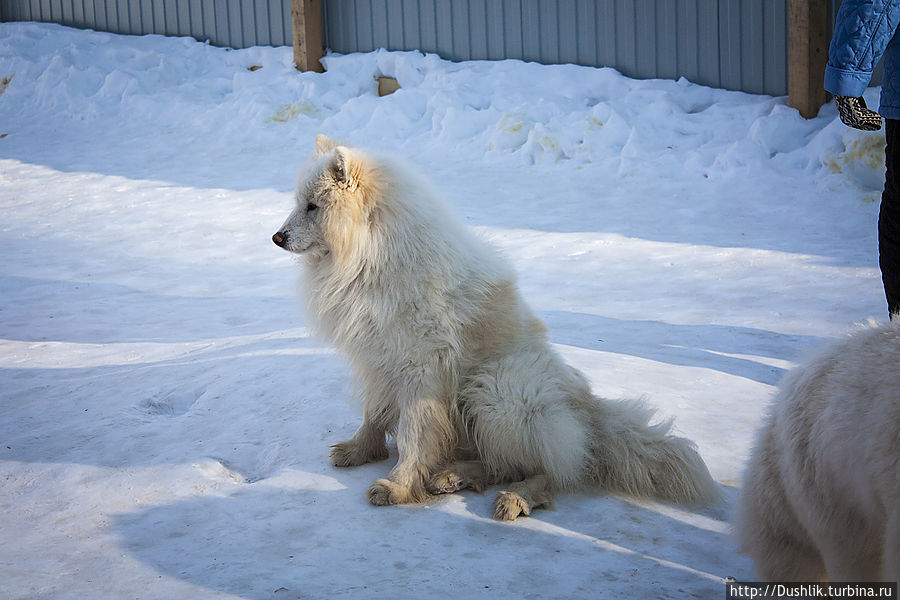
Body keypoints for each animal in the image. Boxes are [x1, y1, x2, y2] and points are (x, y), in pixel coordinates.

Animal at [270, 136, 720, 520]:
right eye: (299, 204)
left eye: (312, 206)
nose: (276, 237)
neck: (372, 257)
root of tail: (589, 412)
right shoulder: (377, 359)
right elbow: (374, 414)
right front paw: (359, 450)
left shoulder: (420, 369)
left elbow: (415, 433)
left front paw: (397, 486)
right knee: (505, 463)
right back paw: (454, 476)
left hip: (497, 389)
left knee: (553, 470)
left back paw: (514, 498)